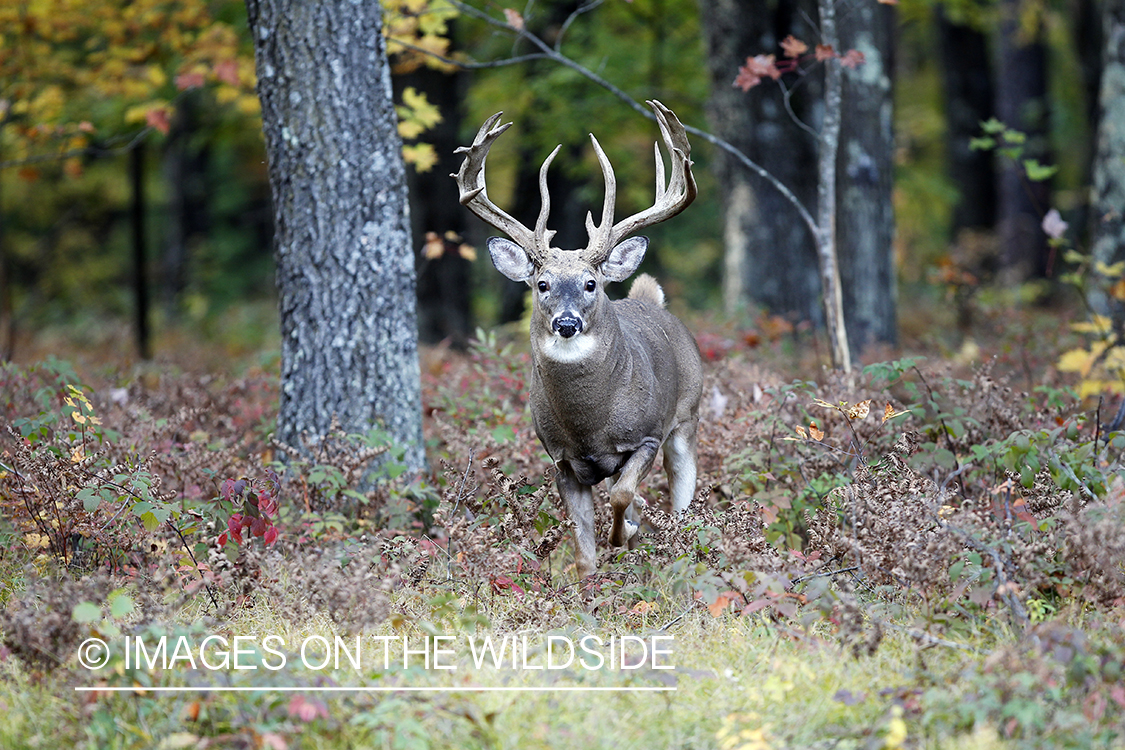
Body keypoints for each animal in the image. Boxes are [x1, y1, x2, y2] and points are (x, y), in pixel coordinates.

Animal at [450, 101, 697, 580]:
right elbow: (583, 548)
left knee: (682, 501)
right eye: (542, 284)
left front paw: (624, 533)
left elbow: (621, 496)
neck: (590, 424)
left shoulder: (647, 437)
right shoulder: (562, 459)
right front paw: (591, 581)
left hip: (687, 419)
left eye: (589, 283)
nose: (566, 323)